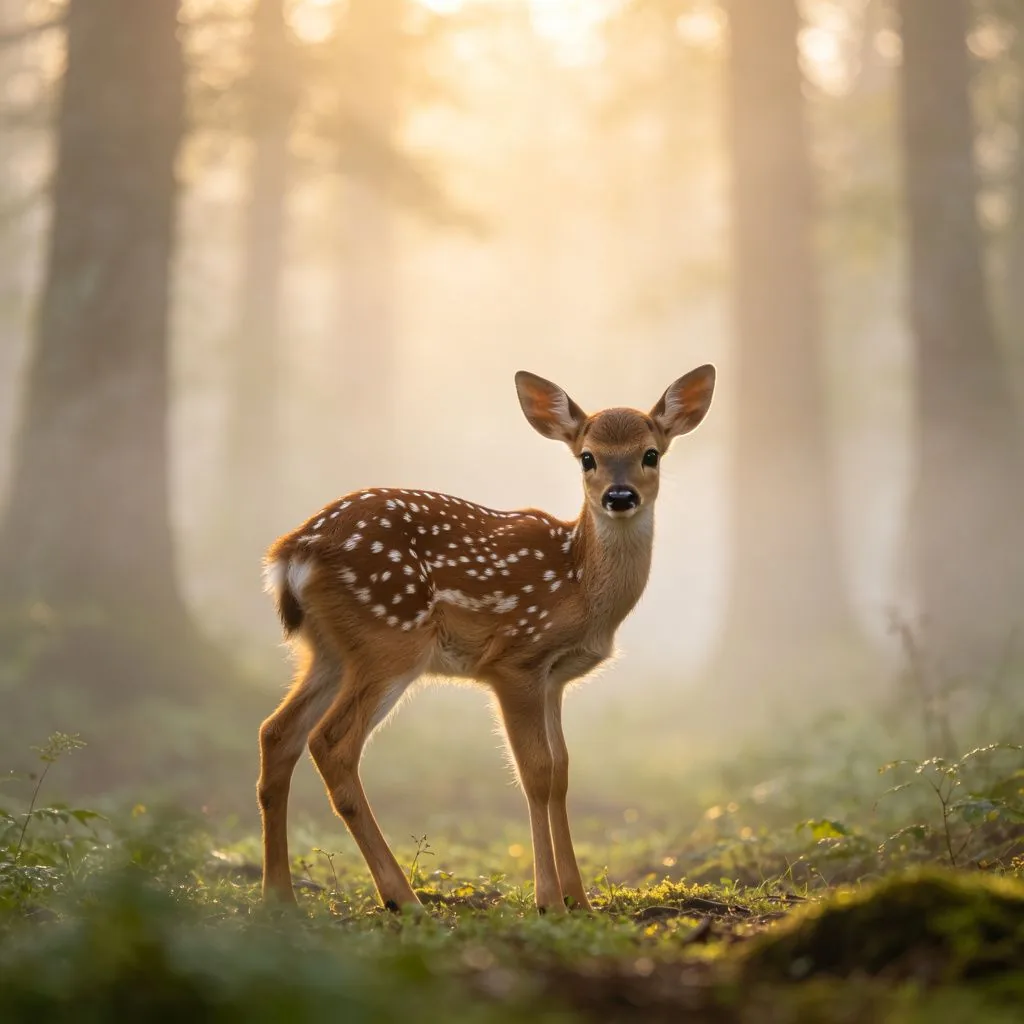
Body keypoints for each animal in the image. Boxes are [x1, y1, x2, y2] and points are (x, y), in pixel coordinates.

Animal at [259, 366, 716, 913]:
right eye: (588, 457)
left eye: (651, 454)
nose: (620, 496)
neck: (580, 583)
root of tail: (291, 552)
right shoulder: (516, 659)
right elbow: (535, 773)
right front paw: (549, 900)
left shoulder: (555, 678)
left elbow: (562, 772)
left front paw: (581, 901)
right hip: (390, 638)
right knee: (331, 743)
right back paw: (403, 899)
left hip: (328, 650)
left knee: (277, 732)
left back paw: (278, 898)